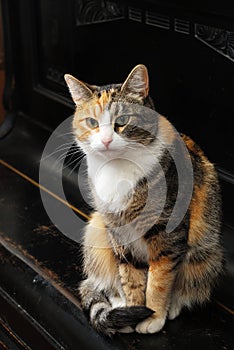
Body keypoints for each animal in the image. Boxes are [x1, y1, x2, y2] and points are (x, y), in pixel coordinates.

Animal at [64, 65, 223, 336]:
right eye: (92, 122)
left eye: (122, 121)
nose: (106, 140)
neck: (118, 169)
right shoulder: (118, 232)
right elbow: (130, 277)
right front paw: (133, 309)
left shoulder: (167, 232)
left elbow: (159, 280)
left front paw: (154, 316)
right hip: (97, 229)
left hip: (205, 253)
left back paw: (172, 307)